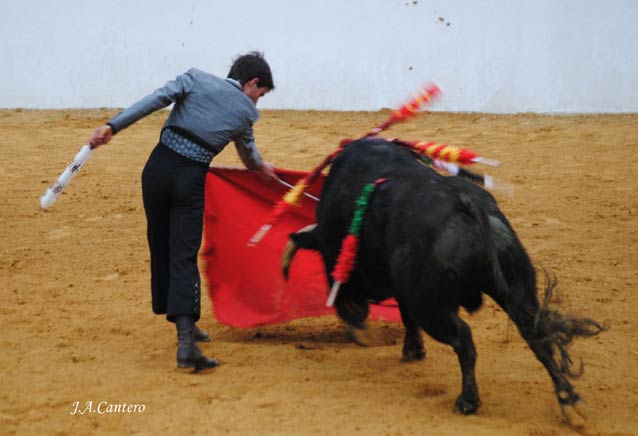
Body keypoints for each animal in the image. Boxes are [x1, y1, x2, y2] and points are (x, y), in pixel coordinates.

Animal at [284, 138, 604, 428]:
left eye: (328, 266)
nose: (351, 315)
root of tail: (470, 206)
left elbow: (405, 315)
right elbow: (405, 316)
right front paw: (412, 350)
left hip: (432, 305)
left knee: (464, 340)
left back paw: (468, 402)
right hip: (517, 285)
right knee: (537, 336)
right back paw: (570, 403)